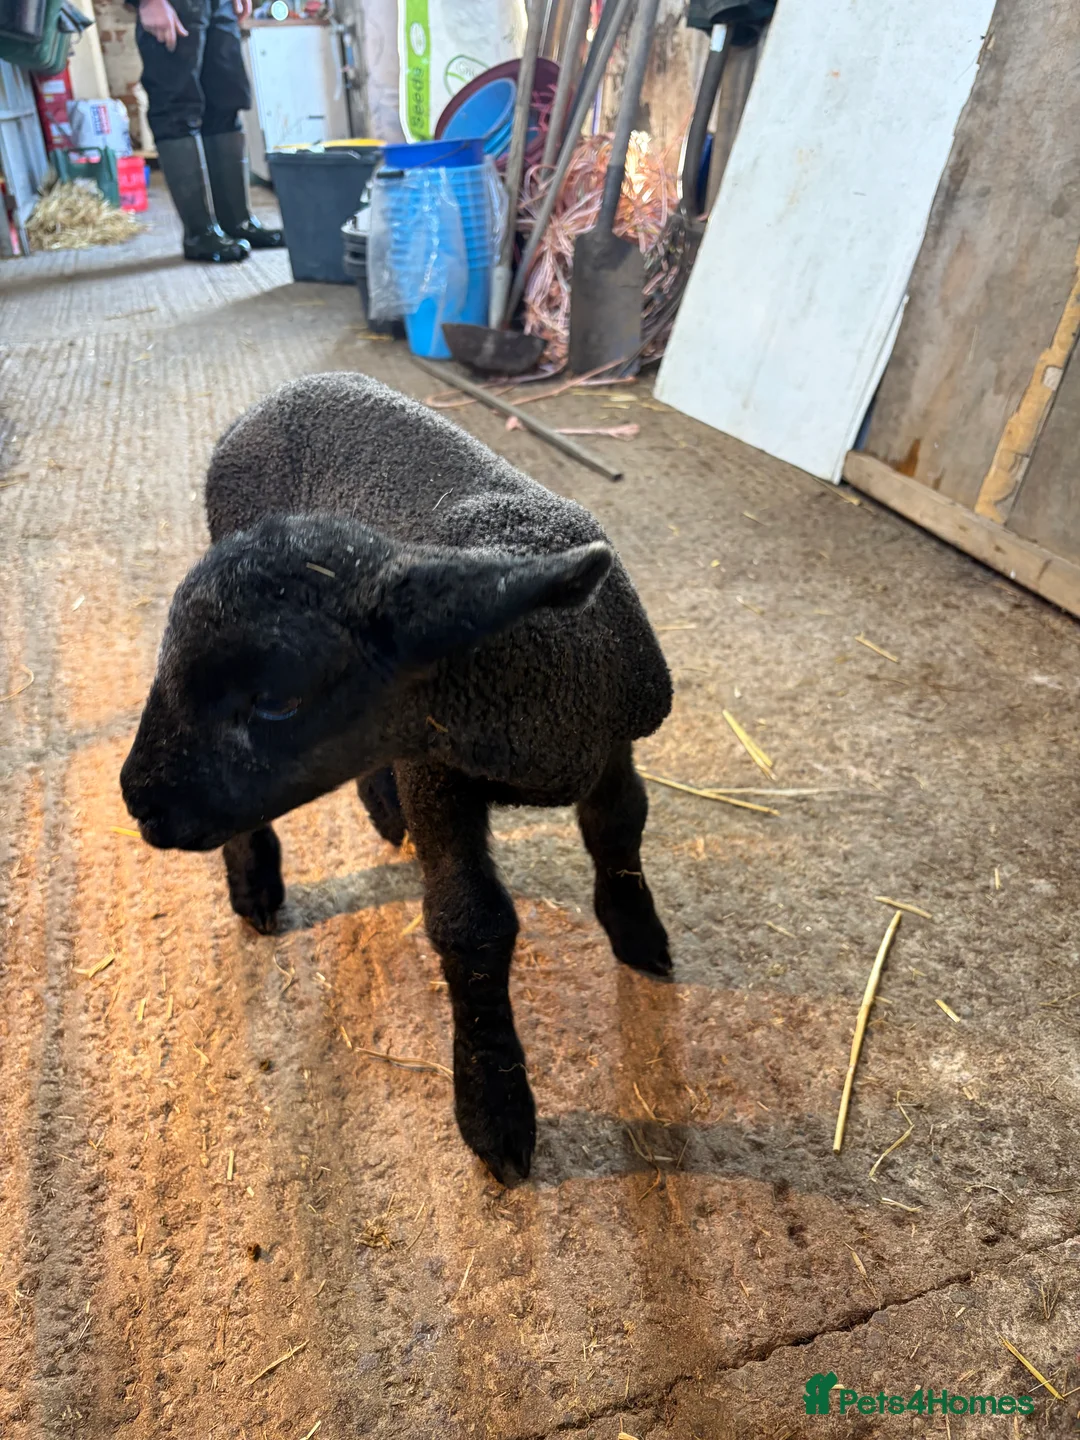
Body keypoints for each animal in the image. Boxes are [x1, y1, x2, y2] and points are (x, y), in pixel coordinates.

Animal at [120, 371, 673, 1184]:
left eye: (278, 699)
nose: (137, 799)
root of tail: (281, 395)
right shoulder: (438, 769)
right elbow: (471, 923)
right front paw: (496, 1111)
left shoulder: (608, 741)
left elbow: (620, 826)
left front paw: (639, 935)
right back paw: (255, 887)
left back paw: (379, 814)